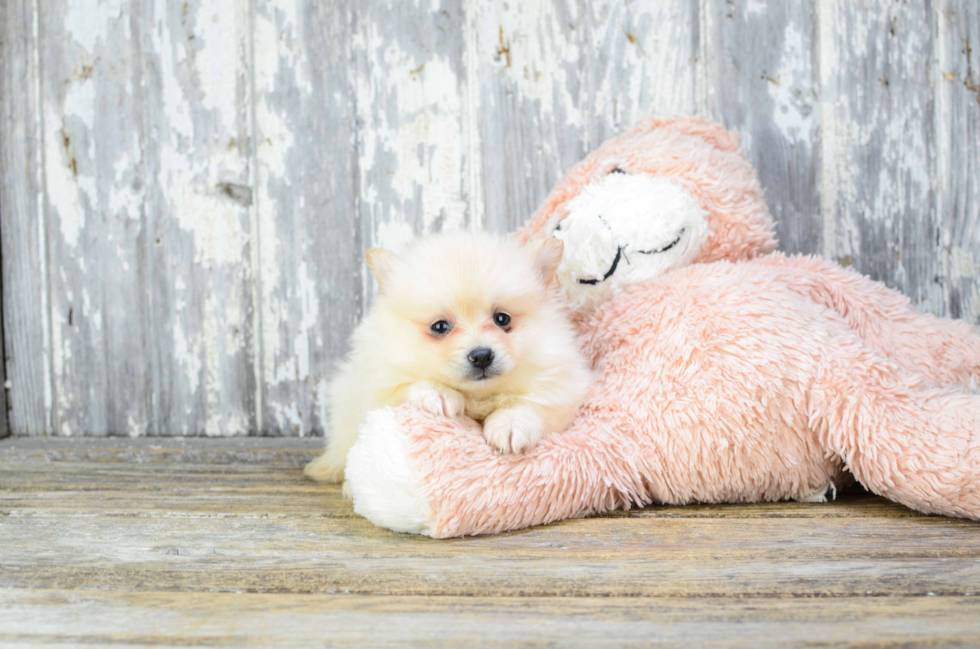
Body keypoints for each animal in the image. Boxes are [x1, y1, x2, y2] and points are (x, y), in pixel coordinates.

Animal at [306, 230, 592, 484]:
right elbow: (403, 387)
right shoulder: (373, 386)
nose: (481, 355)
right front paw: (438, 393)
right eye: (440, 326)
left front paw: (510, 424)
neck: (477, 396)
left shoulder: (558, 385)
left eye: (502, 319)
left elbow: (531, 403)